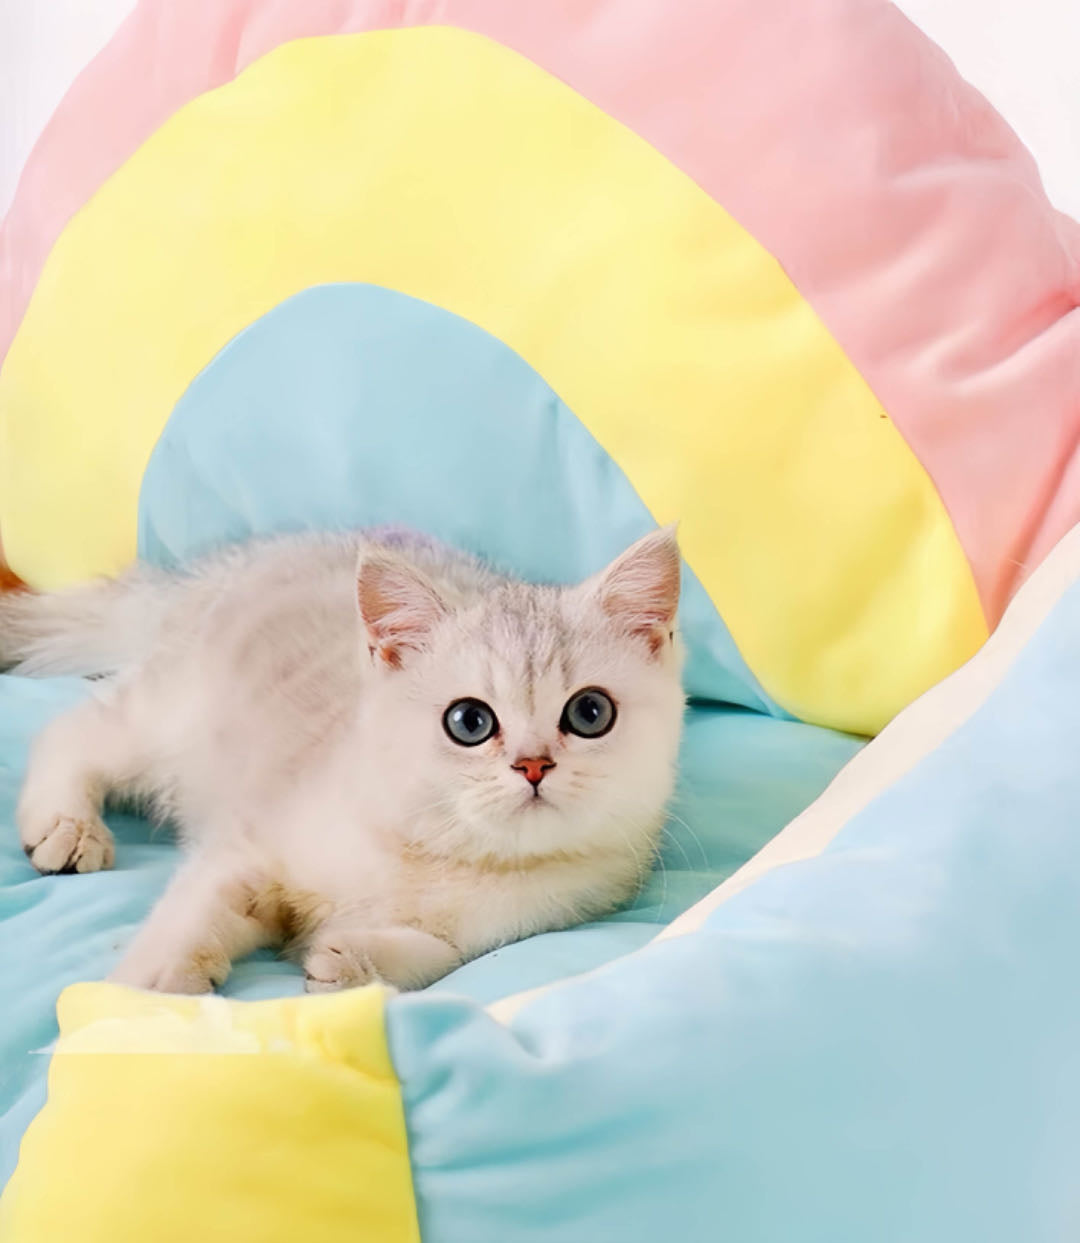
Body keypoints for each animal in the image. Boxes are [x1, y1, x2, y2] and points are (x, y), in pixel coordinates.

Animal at [2, 529, 681, 994]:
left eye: (589, 713)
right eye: (470, 722)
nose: (534, 765)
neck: (444, 855)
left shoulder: (533, 918)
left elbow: (444, 953)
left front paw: (350, 961)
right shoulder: (249, 840)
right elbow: (196, 907)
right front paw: (145, 991)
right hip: (168, 717)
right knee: (70, 731)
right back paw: (67, 827)